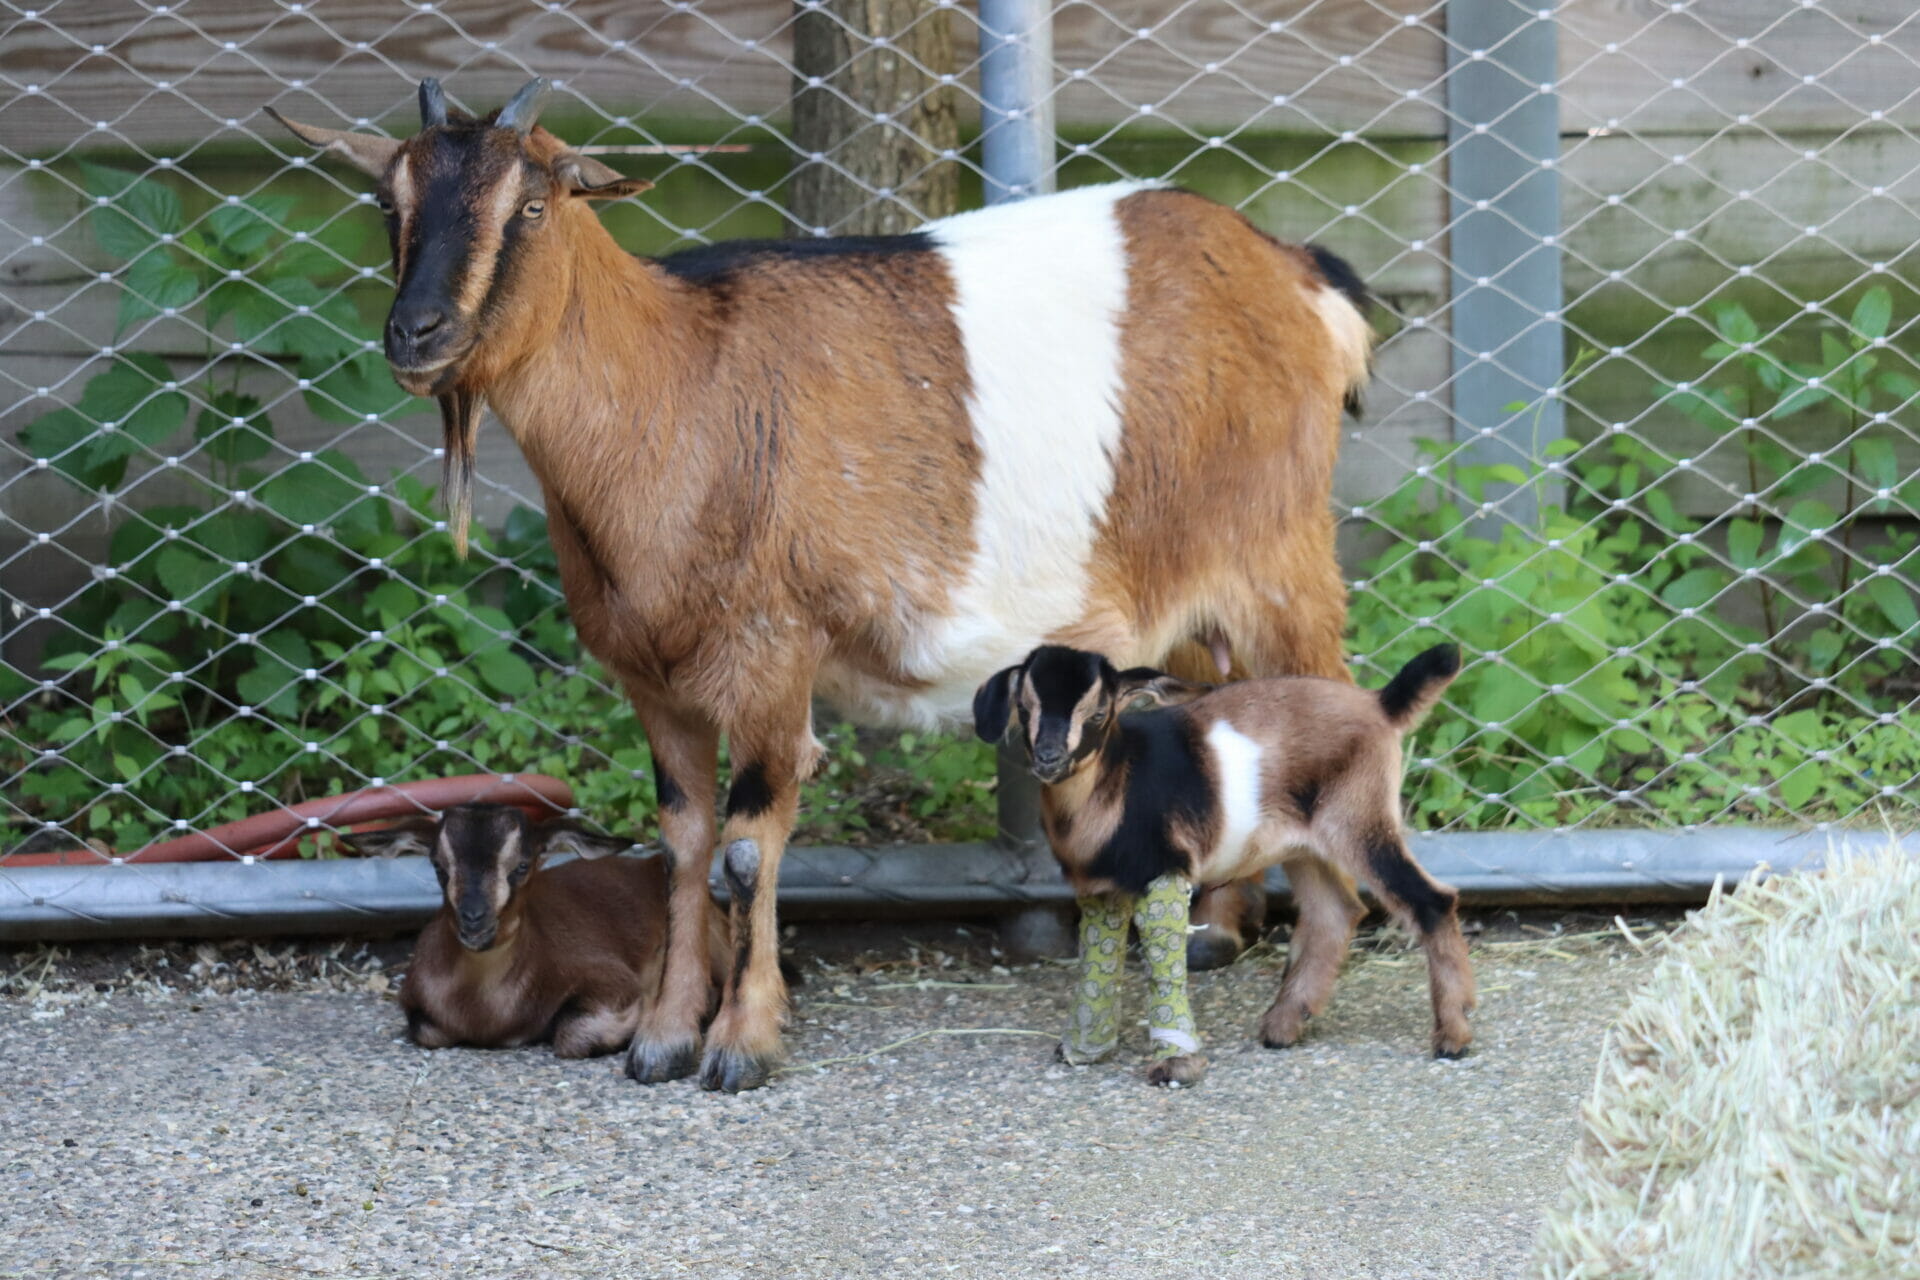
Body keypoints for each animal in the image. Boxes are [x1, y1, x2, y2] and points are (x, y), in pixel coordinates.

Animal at [342, 804, 725, 1058]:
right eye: (438, 866)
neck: (484, 1011)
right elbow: (425, 1031)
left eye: (522, 865)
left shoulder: (610, 977)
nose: (474, 919)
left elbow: (571, 1036)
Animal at [973, 643, 1472, 1084]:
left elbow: (1162, 961)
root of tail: (1380, 705)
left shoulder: (1165, 870)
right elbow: (1098, 960)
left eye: (1098, 714)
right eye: (1024, 708)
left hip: (1360, 820)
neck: (1117, 779)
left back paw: (1454, 1035)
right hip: (1308, 845)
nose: (1049, 758)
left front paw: (1177, 1064)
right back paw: (1283, 1027)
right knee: (1336, 911)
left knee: (1431, 900)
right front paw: (1083, 1049)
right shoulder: (1103, 890)